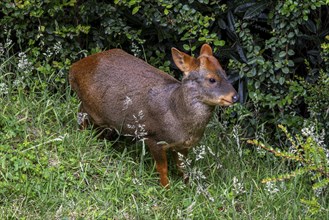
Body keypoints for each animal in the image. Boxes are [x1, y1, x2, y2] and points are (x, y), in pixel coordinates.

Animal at [70, 43, 238, 187]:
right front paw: (166, 189)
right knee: (81, 117)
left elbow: (183, 167)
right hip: (89, 107)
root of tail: (73, 69)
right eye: (212, 79)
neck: (177, 115)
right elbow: (162, 169)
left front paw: (188, 186)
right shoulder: (153, 137)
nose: (235, 96)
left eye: (225, 73)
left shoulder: (183, 145)